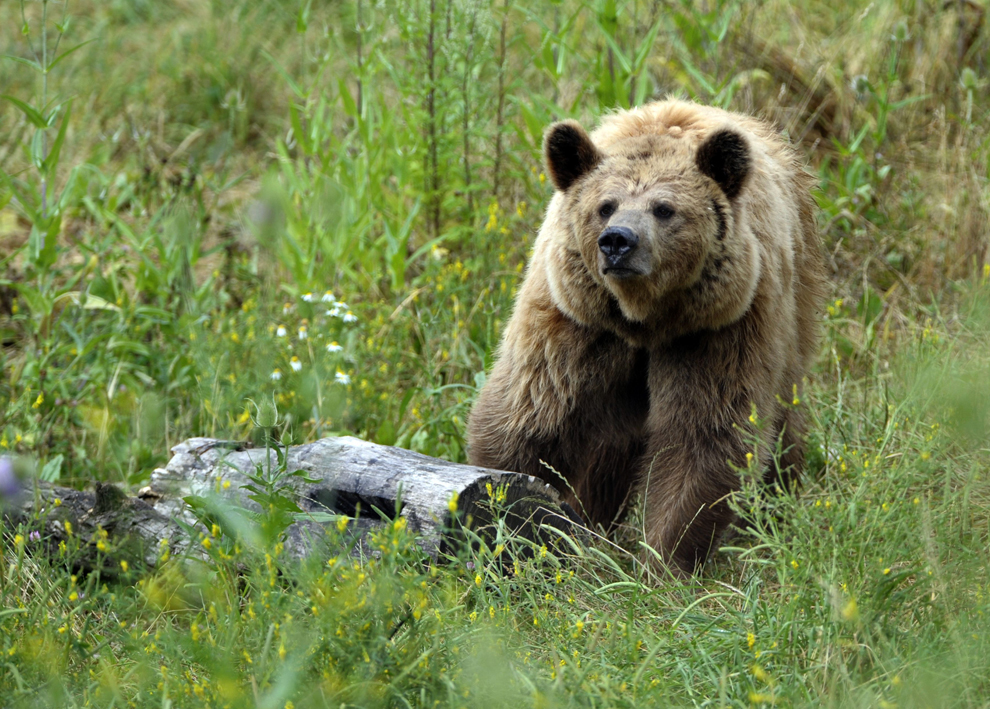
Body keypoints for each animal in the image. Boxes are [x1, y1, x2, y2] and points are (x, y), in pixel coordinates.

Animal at [468, 98, 824, 576]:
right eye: (605, 205)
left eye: (664, 208)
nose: (618, 241)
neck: (644, 319)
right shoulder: (574, 321)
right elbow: (528, 416)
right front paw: (504, 512)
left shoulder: (719, 329)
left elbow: (703, 438)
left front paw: (660, 563)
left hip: (793, 313)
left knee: (783, 428)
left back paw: (772, 514)